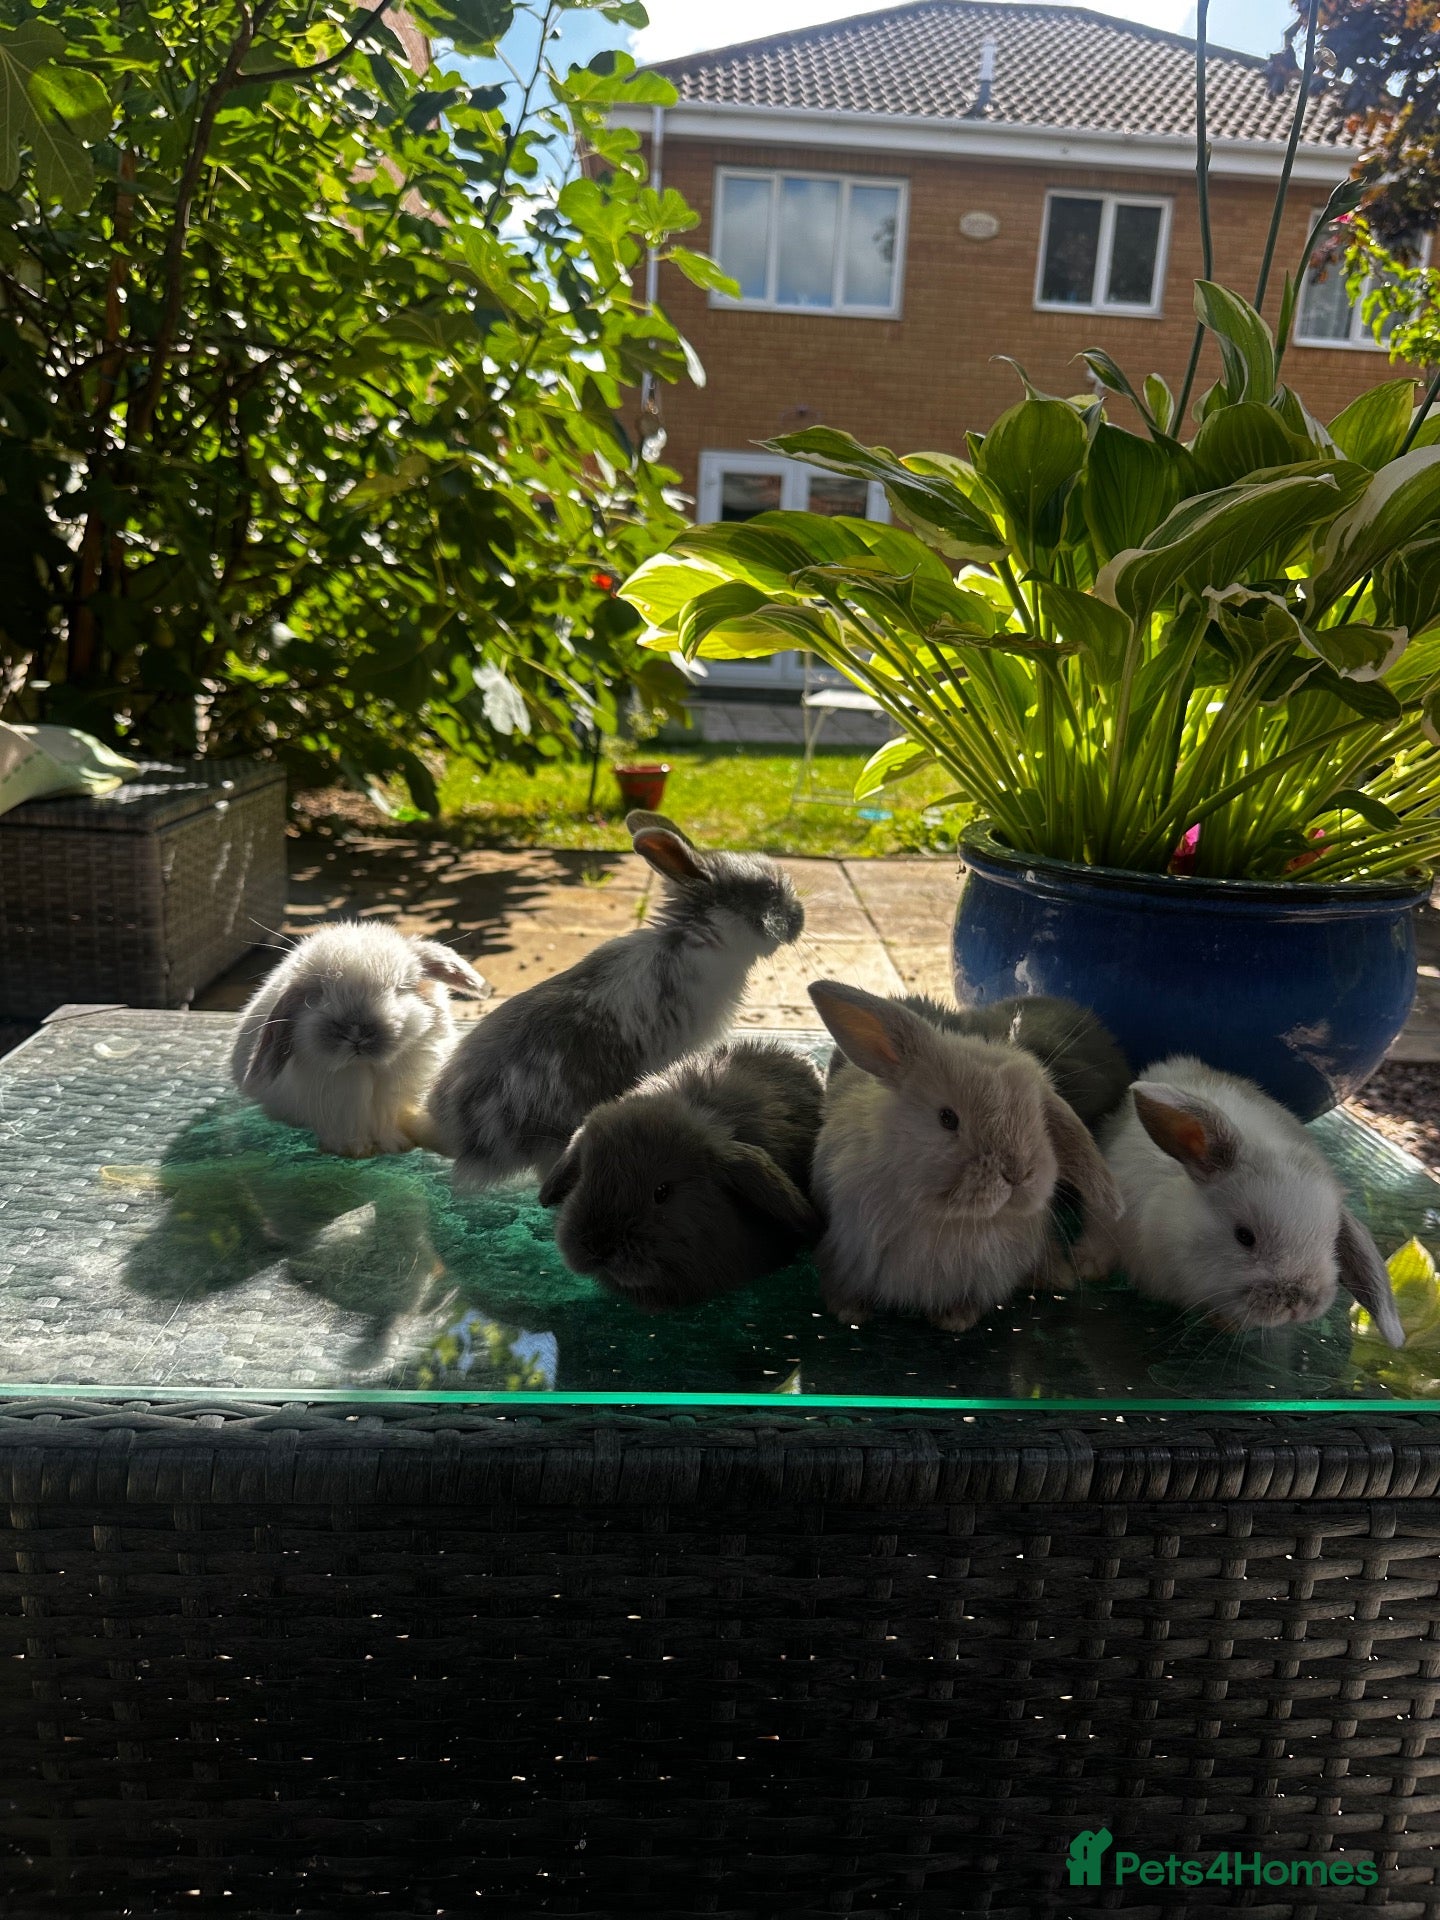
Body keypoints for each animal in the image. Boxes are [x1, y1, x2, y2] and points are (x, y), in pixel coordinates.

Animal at [231, 921, 490, 1157]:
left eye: (399, 989)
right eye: (317, 995)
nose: (355, 1032)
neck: (365, 1069)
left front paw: (396, 1145)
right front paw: (355, 1150)